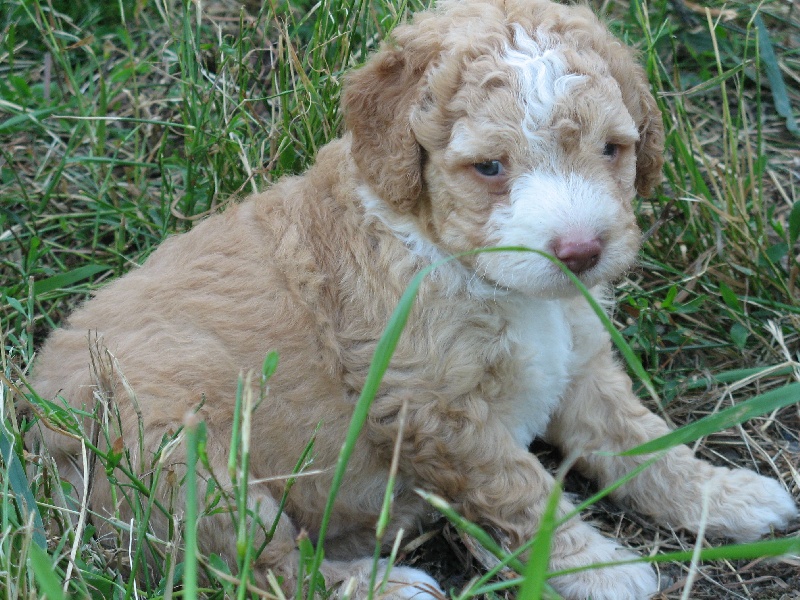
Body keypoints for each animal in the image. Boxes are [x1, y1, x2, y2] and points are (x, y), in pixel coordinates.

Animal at [30, 0, 797, 598]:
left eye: (613, 148)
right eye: (489, 167)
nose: (581, 251)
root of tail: (33, 417)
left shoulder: (579, 363)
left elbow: (639, 440)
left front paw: (719, 494)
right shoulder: (437, 410)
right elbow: (526, 491)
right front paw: (597, 567)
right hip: (180, 459)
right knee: (262, 564)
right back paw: (382, 585)